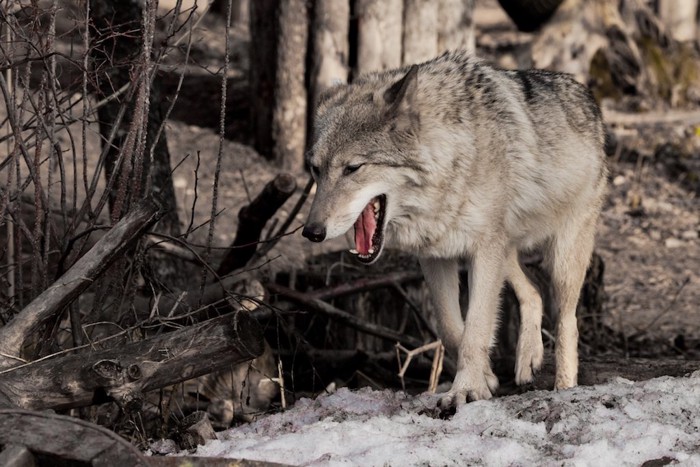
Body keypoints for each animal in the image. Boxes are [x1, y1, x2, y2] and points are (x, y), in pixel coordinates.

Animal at [300, 51, 608, 408]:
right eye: (315, 169)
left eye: (353, 168)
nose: (312, 232)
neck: (454, 158)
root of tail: (586, 95)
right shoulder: (435, 257)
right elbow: (451, 328)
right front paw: (485, 379)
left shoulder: (483, 251)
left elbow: (475, 327)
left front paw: (466, 390)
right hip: (506, 252)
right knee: (533, 292)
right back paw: (528, 359)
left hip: (561, 259)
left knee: (567, 320)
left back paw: (565, 387)